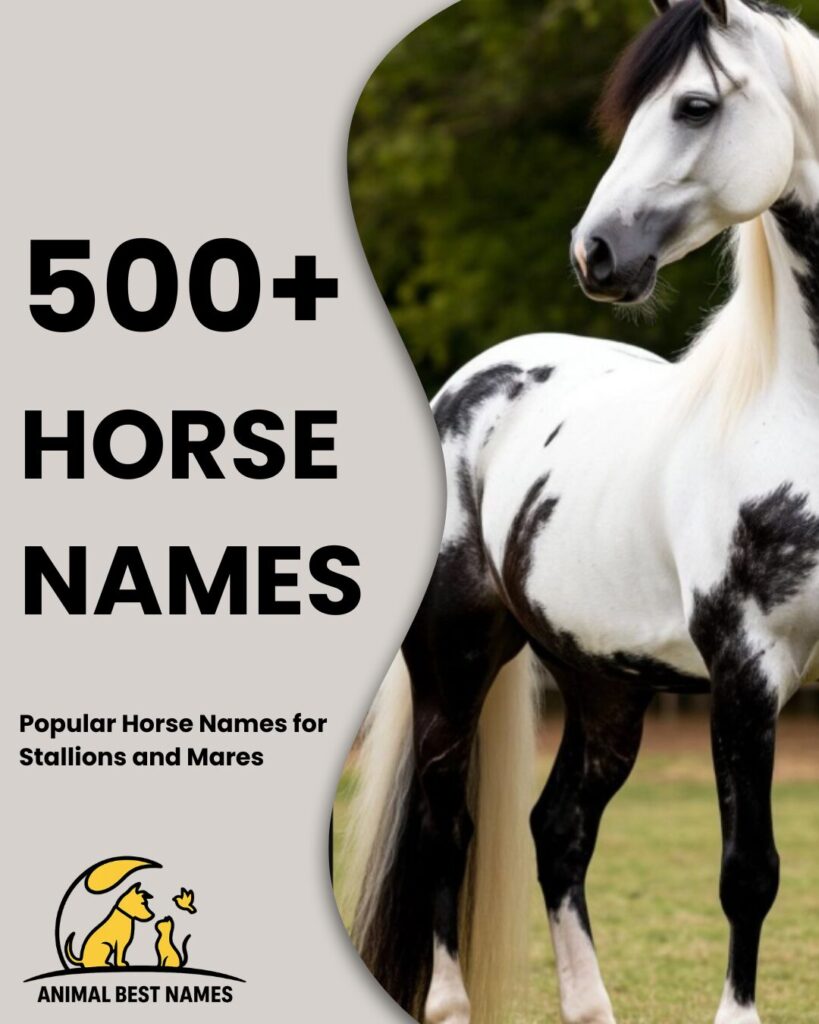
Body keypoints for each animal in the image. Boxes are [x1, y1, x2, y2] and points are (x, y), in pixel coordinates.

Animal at [340, 2, 819, 1022]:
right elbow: (748, 873)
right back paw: (449, 1005)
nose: (593, 254)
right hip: (455, 659)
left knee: (556, 828)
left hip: (604, 682)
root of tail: (465, 386)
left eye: (692, 105)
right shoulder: (746, 668)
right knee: (447, 825)